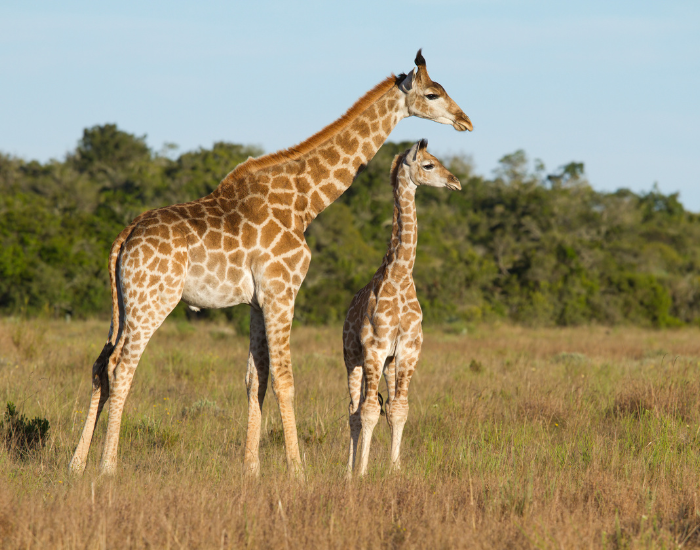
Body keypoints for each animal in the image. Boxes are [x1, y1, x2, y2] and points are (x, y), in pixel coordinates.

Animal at [342, 140, 460, 477]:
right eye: (429, 165)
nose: (456, 182)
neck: (400, 275)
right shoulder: (375, 348)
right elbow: (369, 411)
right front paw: (362, 472)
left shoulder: (407, 350)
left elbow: (399, 409)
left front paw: (394, 470)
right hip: (352, 358)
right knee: (354, 410)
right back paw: (348, 471)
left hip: (390, 364)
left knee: (379, 405)